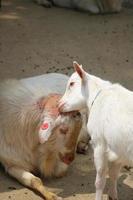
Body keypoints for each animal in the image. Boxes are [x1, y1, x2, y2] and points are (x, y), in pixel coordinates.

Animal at [59, 61, 133, 200]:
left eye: (72, 83)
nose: (59, 105)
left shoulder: (100, 144)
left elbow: (100, 181)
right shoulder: (118, 149)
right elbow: (114, 174)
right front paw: (113, 195)